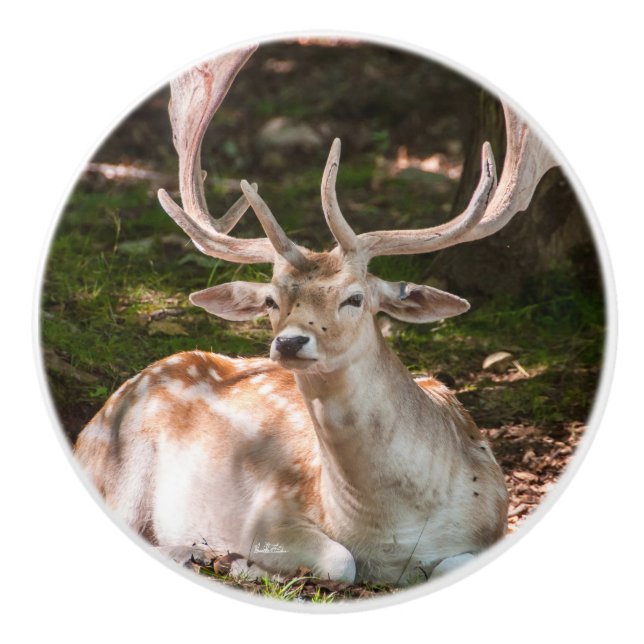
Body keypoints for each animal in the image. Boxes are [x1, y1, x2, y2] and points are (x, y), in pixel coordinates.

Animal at [74, 46, 557, 586]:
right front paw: (243, 561)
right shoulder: (270, 510)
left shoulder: (493, 520)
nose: (290, 341)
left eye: (356, 298)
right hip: (119, 466)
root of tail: (91, 422)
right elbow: (340, 561)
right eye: (271, 300)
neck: (393, 532)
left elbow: (451, 562)